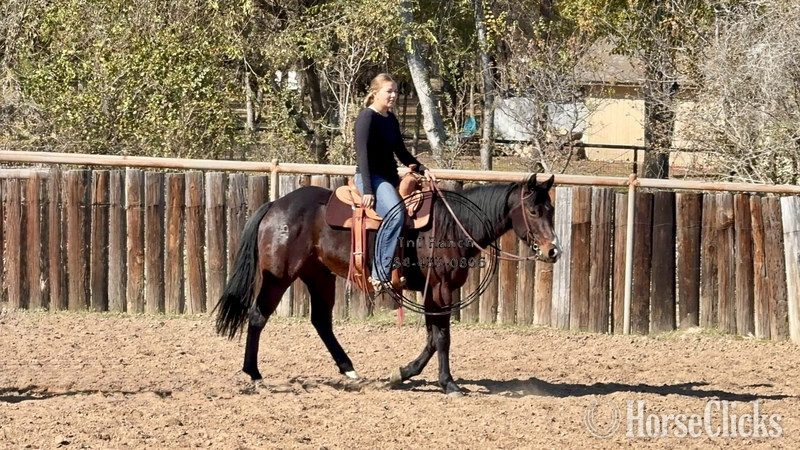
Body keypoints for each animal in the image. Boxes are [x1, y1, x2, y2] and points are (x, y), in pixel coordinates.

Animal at [214, 173, 562, 396]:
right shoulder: (439, 288)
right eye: (533, 210)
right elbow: (442, 337)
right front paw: (448, 383)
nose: (552, 251)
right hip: (280, 276)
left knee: (321, 321)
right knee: (258, 315)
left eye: (552, 209)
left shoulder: (436, 291)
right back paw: (254, 373)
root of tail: (275, 205)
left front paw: (402, 373)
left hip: (318, 275)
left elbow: (432, 337)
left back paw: (349, 369)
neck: (452, 224)